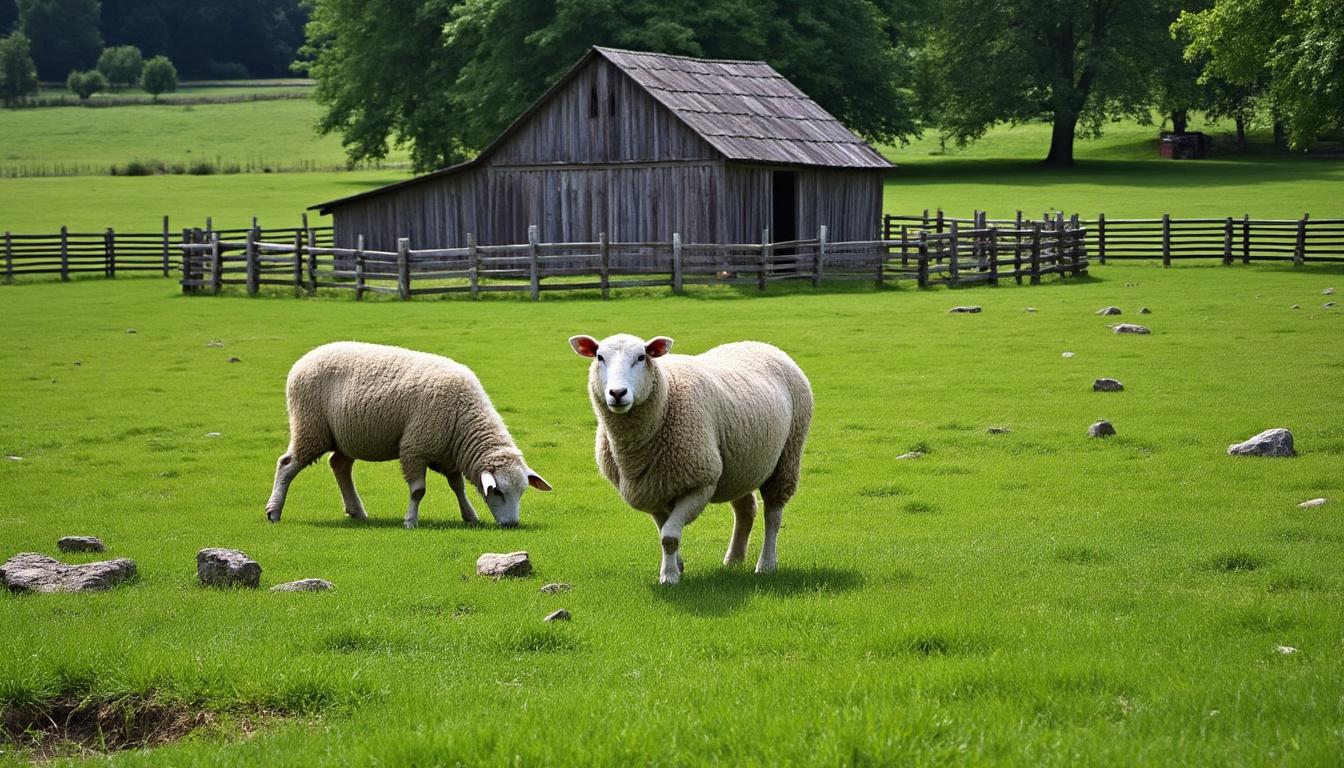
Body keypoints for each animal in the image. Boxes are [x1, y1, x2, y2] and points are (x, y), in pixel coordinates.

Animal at [265, 341, 550, 528]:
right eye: (498, 492)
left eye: (522, 492)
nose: (512, 524)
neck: (464, 415)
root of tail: (303, 359)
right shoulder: (415, 448)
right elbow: (418, 491)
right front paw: (410, 521)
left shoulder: (448, 454)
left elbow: (458, 487)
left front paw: (470, 515)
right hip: (310, 426)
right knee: (287, 464)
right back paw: (274, 511)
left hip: (344, 436)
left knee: (339, 465)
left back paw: (357, 512)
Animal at [568, 333, 812, 584]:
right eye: (599, 357)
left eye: (641, 357)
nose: (617, 393)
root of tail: (761, 344)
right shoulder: (651, 489)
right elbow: (664, 530)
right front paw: (677, 566)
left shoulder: (701, 482)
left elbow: (669, 537)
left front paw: (669, 576)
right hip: (741, 467)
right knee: (746, 510)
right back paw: (733, 559)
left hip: (787, 455)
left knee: (772, 515)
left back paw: (766, 564)